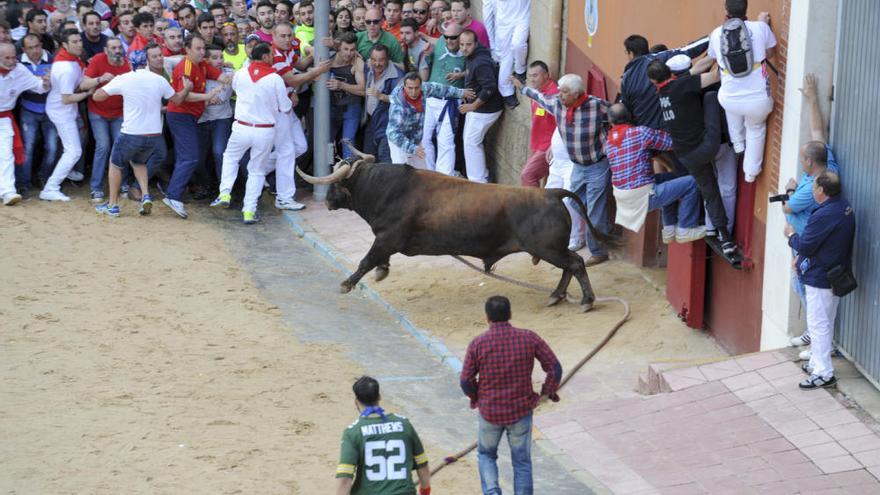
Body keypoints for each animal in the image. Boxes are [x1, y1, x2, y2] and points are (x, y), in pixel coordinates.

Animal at [300, 156, 624, 310]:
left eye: (336, 184)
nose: (327, 201)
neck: (382, 187)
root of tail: (552, 192)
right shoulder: (386, 240)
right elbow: (377, 259)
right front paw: (382, 271)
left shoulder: (387, 237)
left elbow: (366, 260)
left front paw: (346, 284)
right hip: (550, 249)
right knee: (570, 266)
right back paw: (556, 296)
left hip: (547, 248)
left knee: (575, 263)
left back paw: (585, 300)